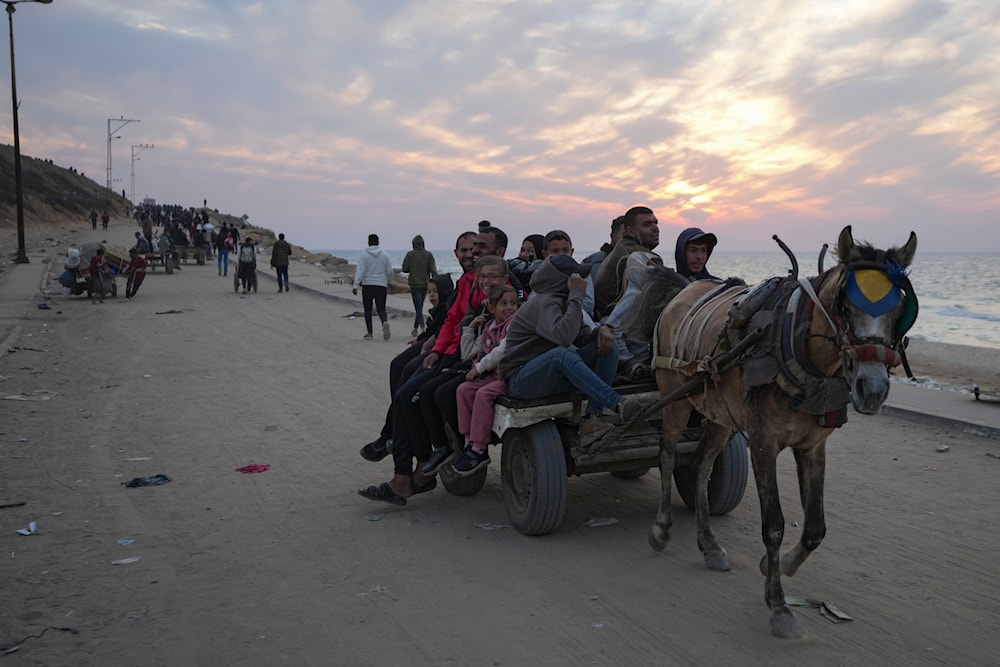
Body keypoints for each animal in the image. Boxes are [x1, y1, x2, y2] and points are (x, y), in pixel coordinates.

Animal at [636, 227, 916, 640]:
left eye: (900, 311)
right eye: (846, 308)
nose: (873, 389)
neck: (802, 352)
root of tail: (682, 292)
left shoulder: (813, 446)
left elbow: (815, 528)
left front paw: (778, 566)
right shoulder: (763, 443)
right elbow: (774, 525)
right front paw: (779, 604)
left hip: (721, 414)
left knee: (701, 465)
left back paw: (709, 545)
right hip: (676, 399)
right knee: (668, 455)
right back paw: (661, 529)